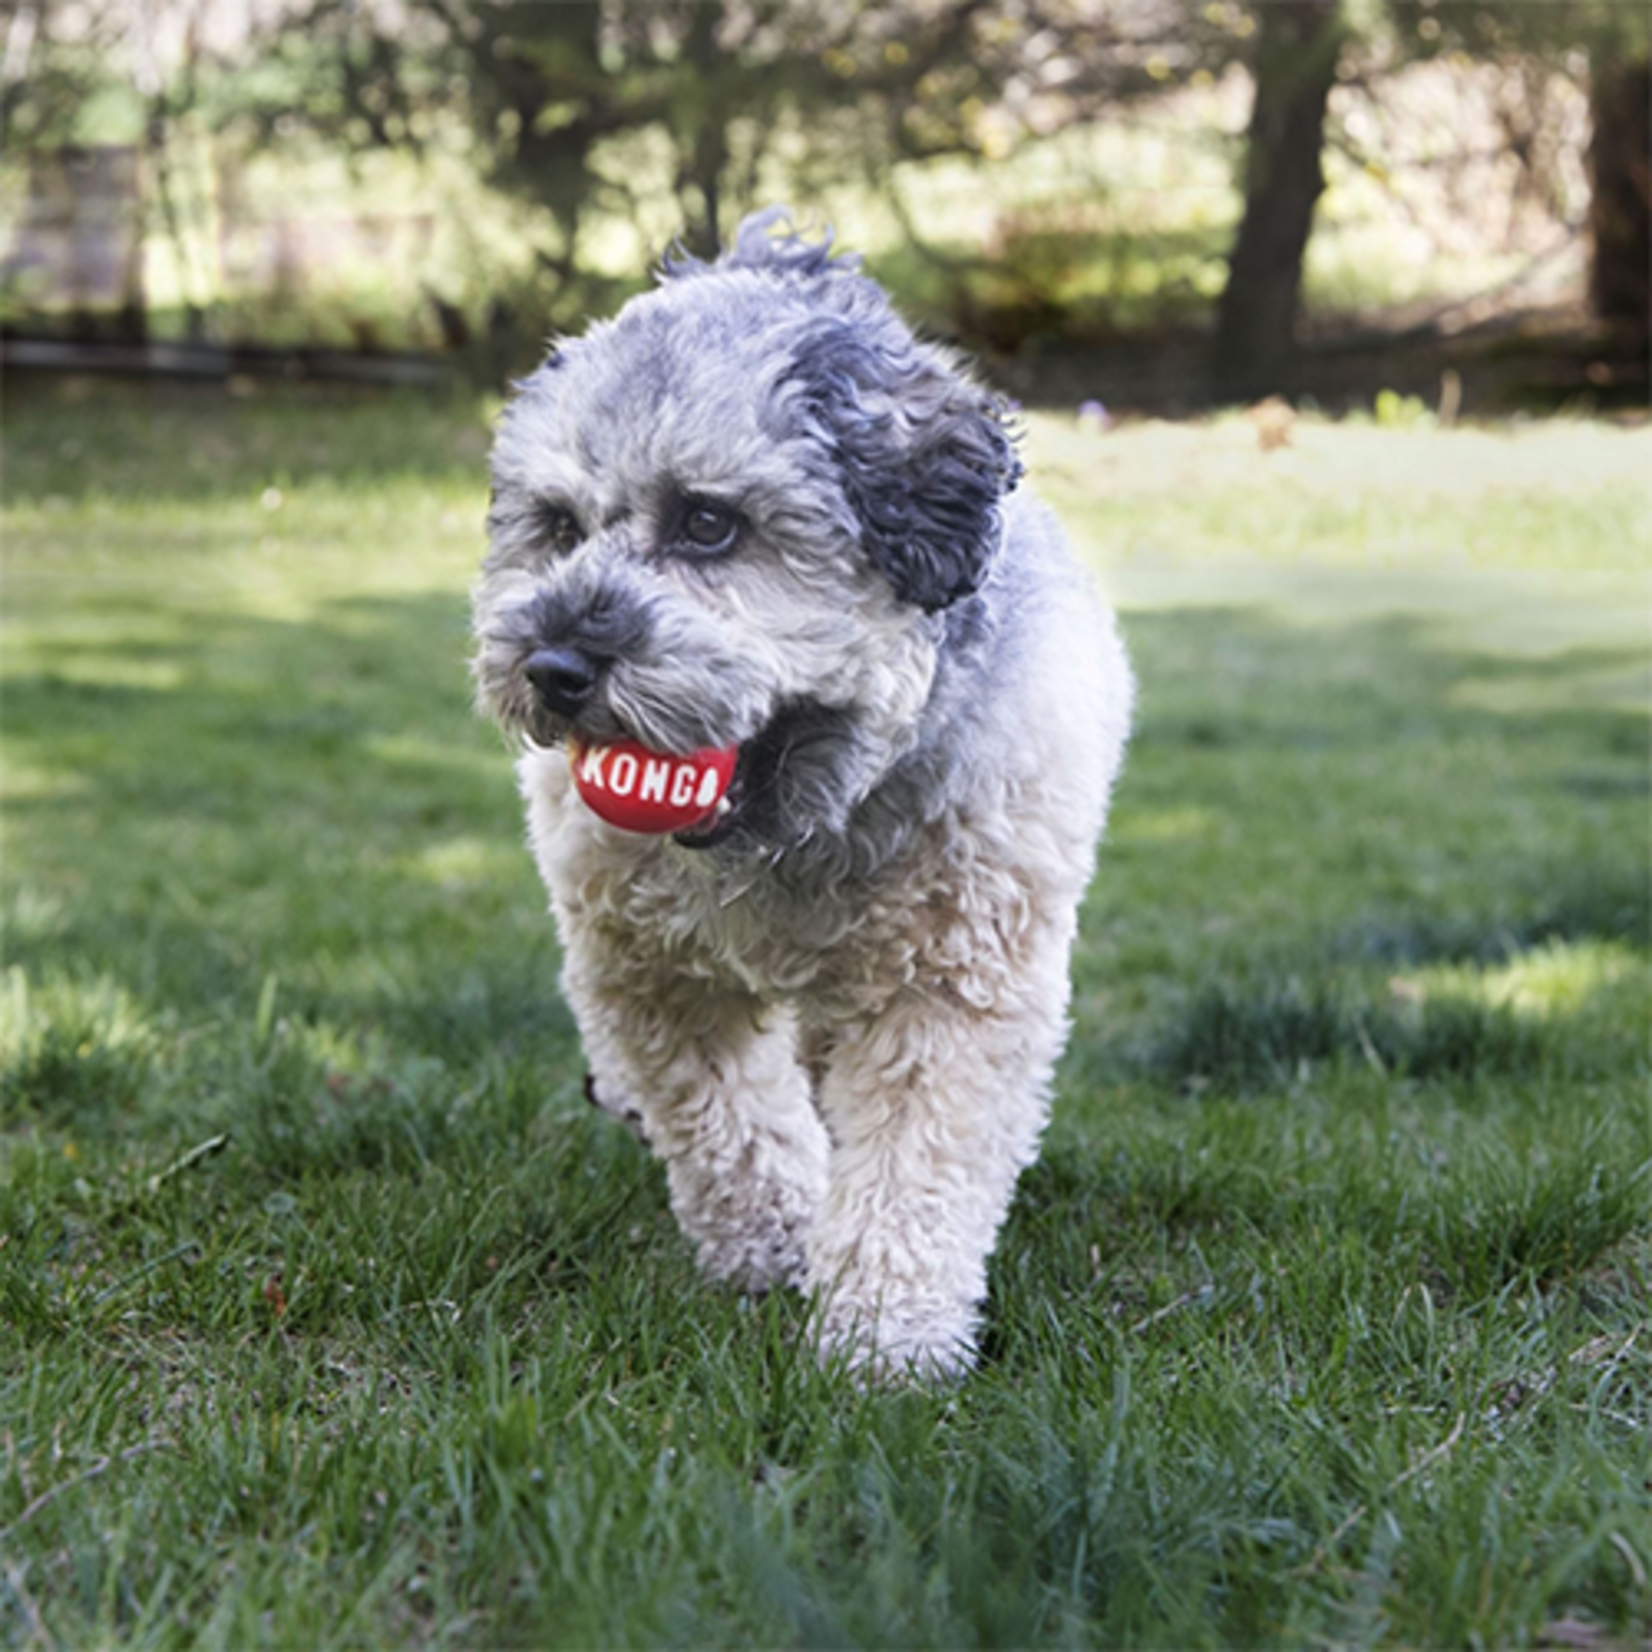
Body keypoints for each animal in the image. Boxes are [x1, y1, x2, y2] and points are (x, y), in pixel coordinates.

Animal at [472, 209, 1129, 1381]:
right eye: (557, 525)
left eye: (708, 522)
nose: (552, 666)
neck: (796, 834)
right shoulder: (649, 971)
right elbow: (725, 1118)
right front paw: (775, 1242)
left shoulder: (950, 987)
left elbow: (913, 1164)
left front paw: (882, 1339)